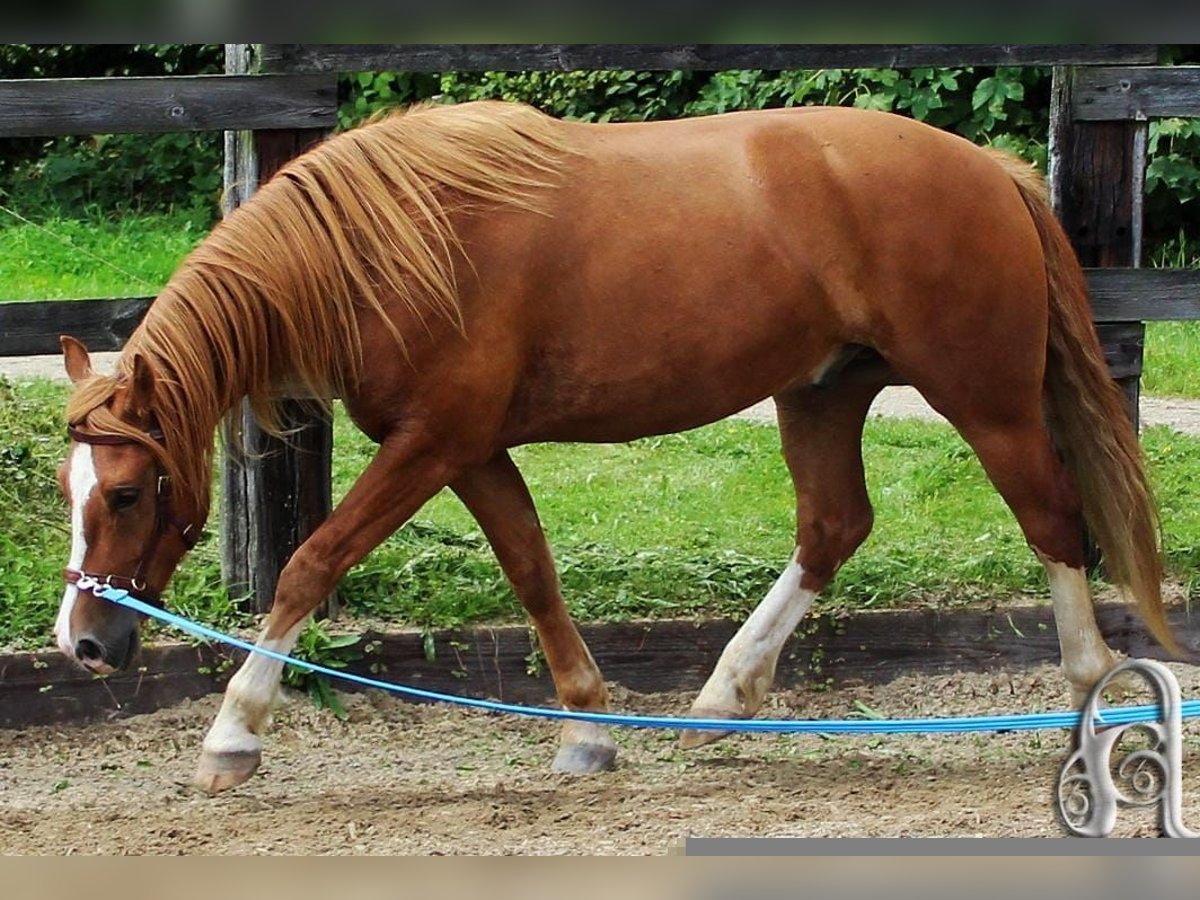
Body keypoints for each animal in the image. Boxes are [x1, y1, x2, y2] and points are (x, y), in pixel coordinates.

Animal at [54, 98, 1171, 792]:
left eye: (128, 492)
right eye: (76, 488)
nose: (85, 643)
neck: (386, 246)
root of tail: (990, 170)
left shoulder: (432, 444)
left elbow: (310, 564)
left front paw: (233, 734)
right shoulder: (470, 451)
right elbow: (534, 573)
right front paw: (589, 731)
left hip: (985, 400)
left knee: (1053, 520)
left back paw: (1090, 697)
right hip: (821, 392)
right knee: (833, 526)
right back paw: (724, 698)